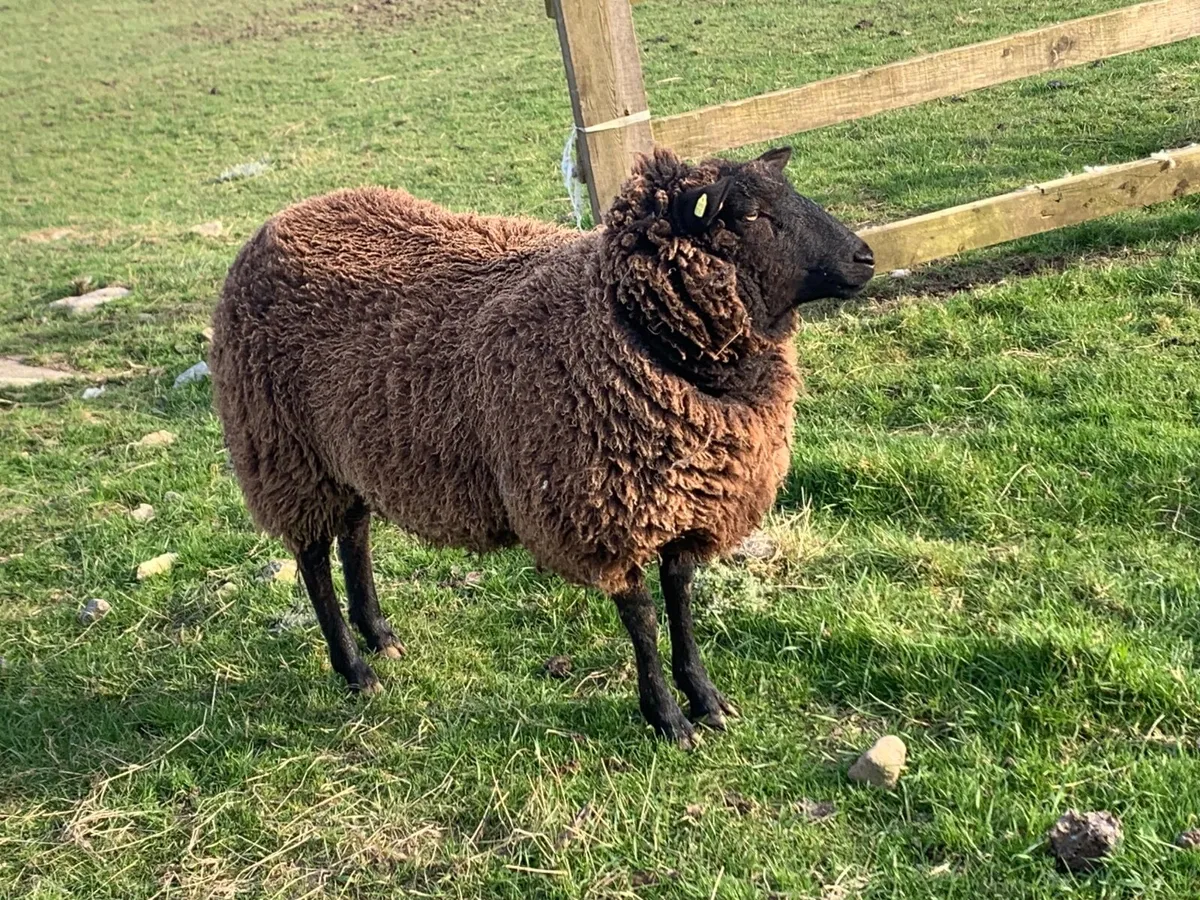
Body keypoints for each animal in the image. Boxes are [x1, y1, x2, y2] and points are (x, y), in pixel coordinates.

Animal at [210, 146, 874, 747]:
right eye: (750, 214)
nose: (865, 257)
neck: (620, 319)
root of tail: (277, 222)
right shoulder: (604, 513)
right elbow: (643, 618)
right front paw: (667, 718)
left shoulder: (688, 500)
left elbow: (681, 599)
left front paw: (705, 699)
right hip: (285, 451)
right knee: (313, 560)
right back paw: (355, 669)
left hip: (345, 454)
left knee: (355, 536)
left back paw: (379, 635)